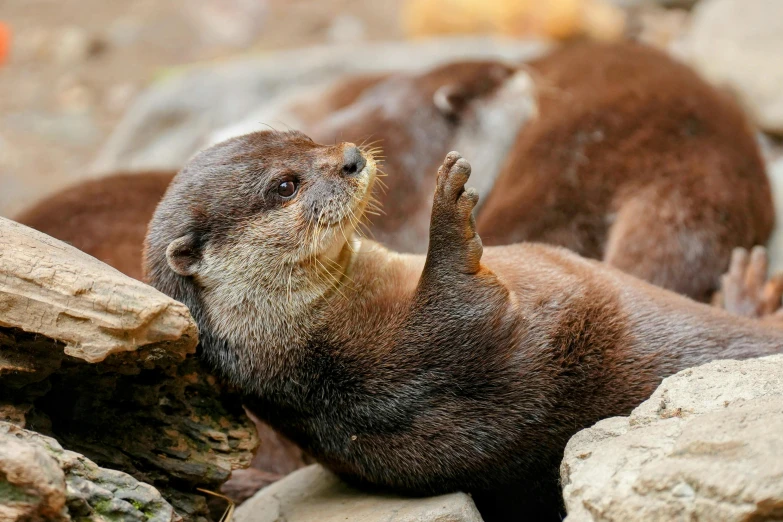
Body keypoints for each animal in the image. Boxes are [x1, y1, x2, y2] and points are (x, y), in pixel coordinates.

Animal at [144, 129, 783, 516]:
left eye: (306, 140)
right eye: (284, 185)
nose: (351, 158)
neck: (311, 347)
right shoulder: (399, 372)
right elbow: (469, 311)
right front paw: (448, 212)